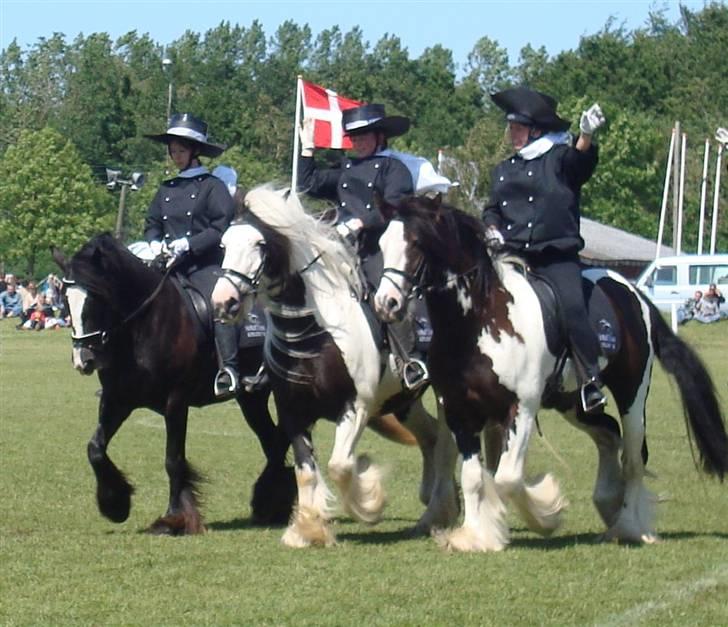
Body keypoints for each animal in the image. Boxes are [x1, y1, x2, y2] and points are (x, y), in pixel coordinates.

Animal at [50, 233, 296, 536]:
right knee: (273, 441)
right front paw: (115, 504)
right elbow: (95, 448)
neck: (144, 325)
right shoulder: (117, 399)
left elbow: (173, 460)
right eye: (65, 300)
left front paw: (174, 518)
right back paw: (271, 504)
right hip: (251, 398)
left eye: (97, 297)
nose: (84, 359)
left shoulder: (176, 401)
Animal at [209, 188, 456, 548]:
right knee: (431, 437)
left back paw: (442, 506)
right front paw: (307, 529)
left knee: (448, 445)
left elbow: (340, 465)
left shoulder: (355, 407)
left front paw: (369, 502)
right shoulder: (293, 411)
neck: (316, 331)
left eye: (260, 245)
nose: (223, 302)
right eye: (224, 245)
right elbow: (305, 472)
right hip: (405, 402)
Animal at [376, 194, 728, 552]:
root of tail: (633, 293)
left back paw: (628, 526)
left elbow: (507, 477)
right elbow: (474, 477)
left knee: (633, 458)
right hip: (572, 402)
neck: (479, 321)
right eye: (381, 244)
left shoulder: (521, 407)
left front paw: (545, 514)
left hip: (632, 393)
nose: (385, 304)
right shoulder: (460, 410)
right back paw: (608, 502)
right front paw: (476, 536)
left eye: (416, 244)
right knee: (608, 433)